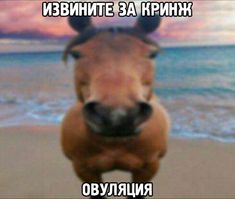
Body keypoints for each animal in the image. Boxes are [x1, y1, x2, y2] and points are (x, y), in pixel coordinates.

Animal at [61, 15, 170, 199]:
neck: (115, 144)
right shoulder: (83, 170)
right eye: (76, 54)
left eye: (152, 54)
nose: (118, 116)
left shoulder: (148, 169)